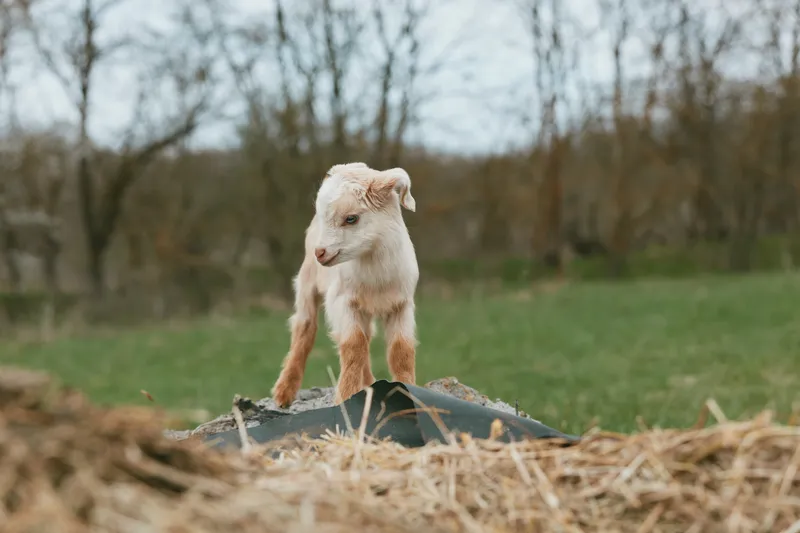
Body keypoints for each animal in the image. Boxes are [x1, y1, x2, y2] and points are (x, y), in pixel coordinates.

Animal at [270, 162, 419, 407]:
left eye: (351, 218)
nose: (320, 253)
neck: (375, 274)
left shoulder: (402, 304)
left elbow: (401, 351)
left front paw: (410, 391)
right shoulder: (342, 301)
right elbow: (353, 346)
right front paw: (346, 396)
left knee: (366, 337)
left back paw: (368, 383)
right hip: (307, 283)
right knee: (305, 329)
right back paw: (284, 392)